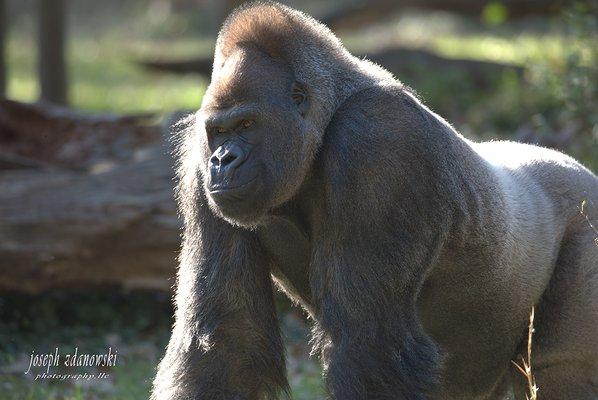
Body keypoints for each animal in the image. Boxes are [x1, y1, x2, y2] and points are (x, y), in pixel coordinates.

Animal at [151, 3, 598, 400]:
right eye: (219, 132)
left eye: (246, 125)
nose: (222, 160)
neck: (327, 118)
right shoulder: (197, 163)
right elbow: (228, 341)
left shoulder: (378, 142)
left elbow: (369, 342)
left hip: (587, 217)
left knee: (561, 370)